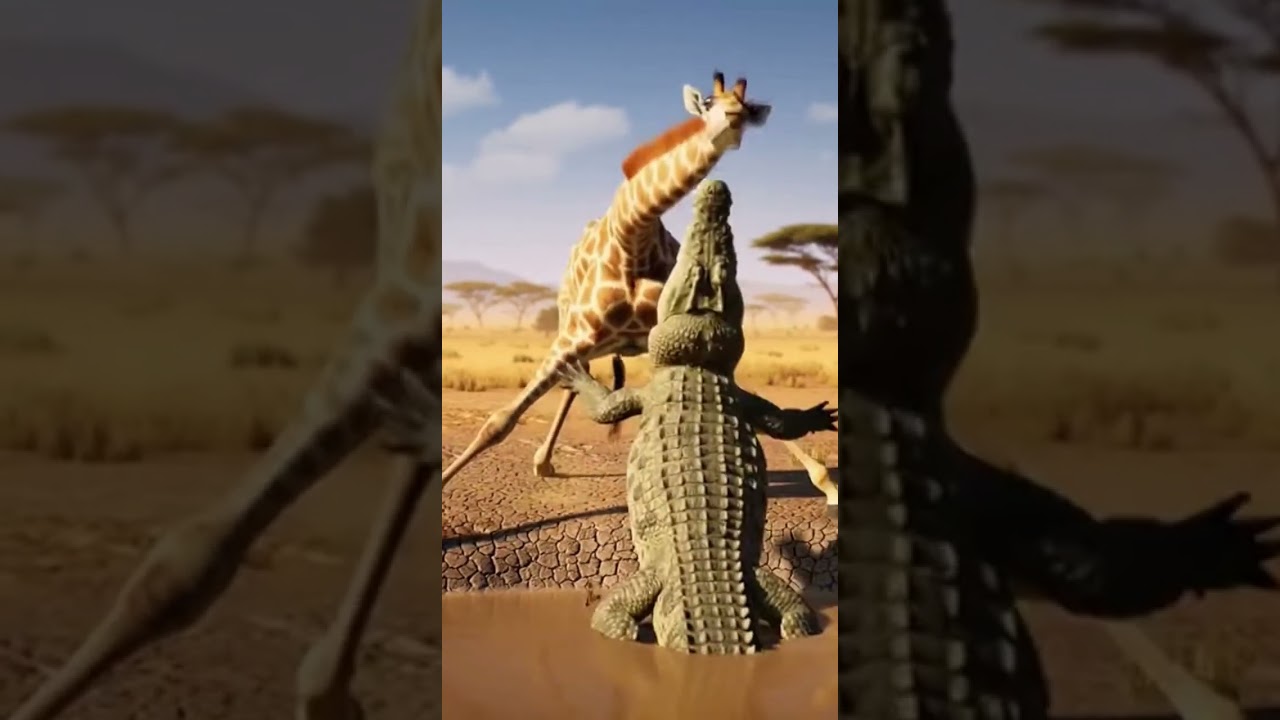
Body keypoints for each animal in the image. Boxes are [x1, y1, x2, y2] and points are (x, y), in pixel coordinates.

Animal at [443, 73, 839, 510]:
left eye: (748, 108)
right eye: (709, 104)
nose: (734, 119)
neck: (632, 233)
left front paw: (827, 482)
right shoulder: (572, 338)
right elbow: (498, 422)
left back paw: (546, 461)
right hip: (570, 328)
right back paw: (543, 460)